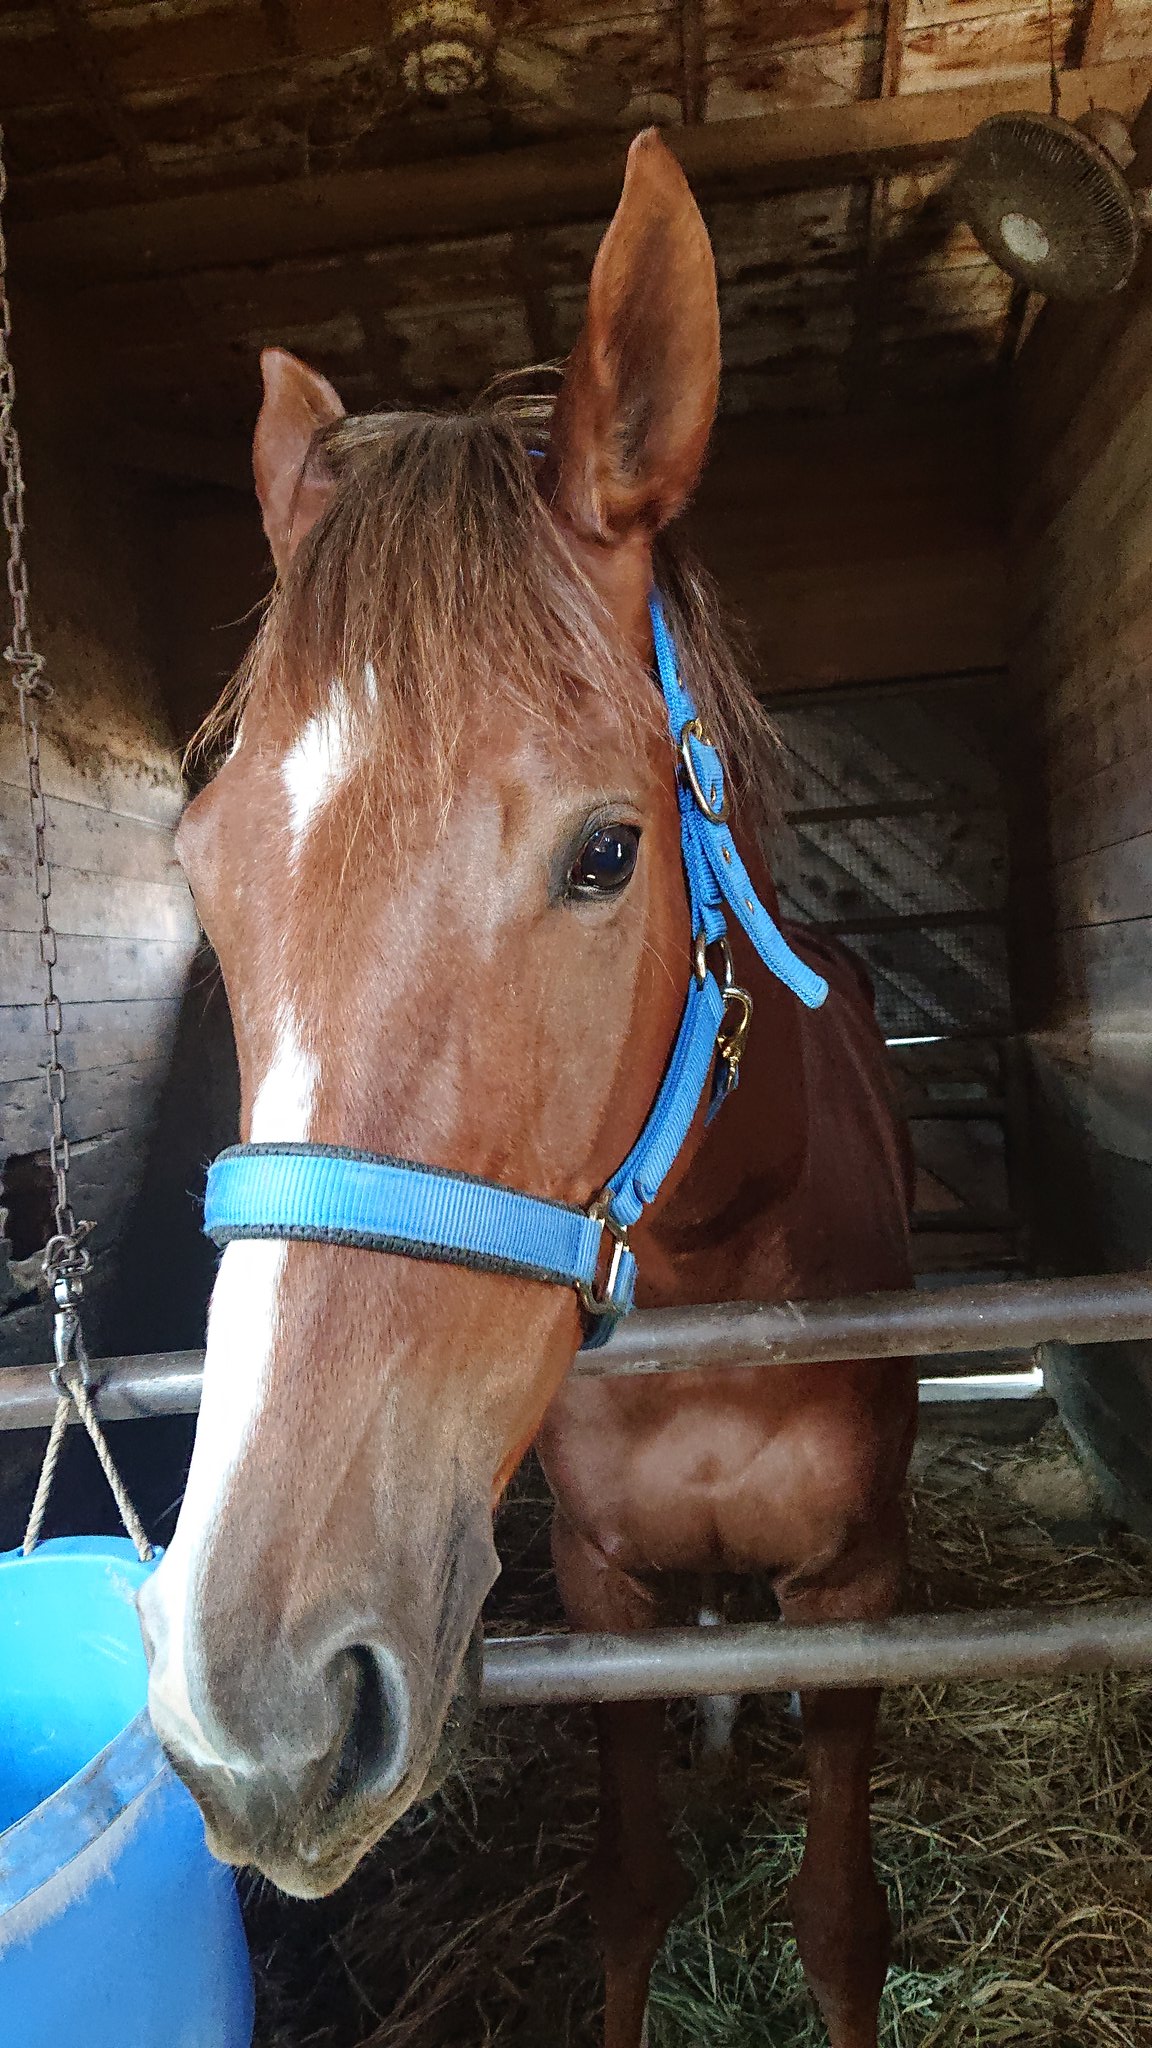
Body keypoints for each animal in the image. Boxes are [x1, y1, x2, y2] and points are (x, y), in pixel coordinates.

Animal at [138, 130, 917, 2048]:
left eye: (606, 852)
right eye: (205, 867)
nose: (250, 1705)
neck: (716, 1269)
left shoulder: (862, 1596)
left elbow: (840, 1917)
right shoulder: (609, 1587)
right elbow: (628, 1892)